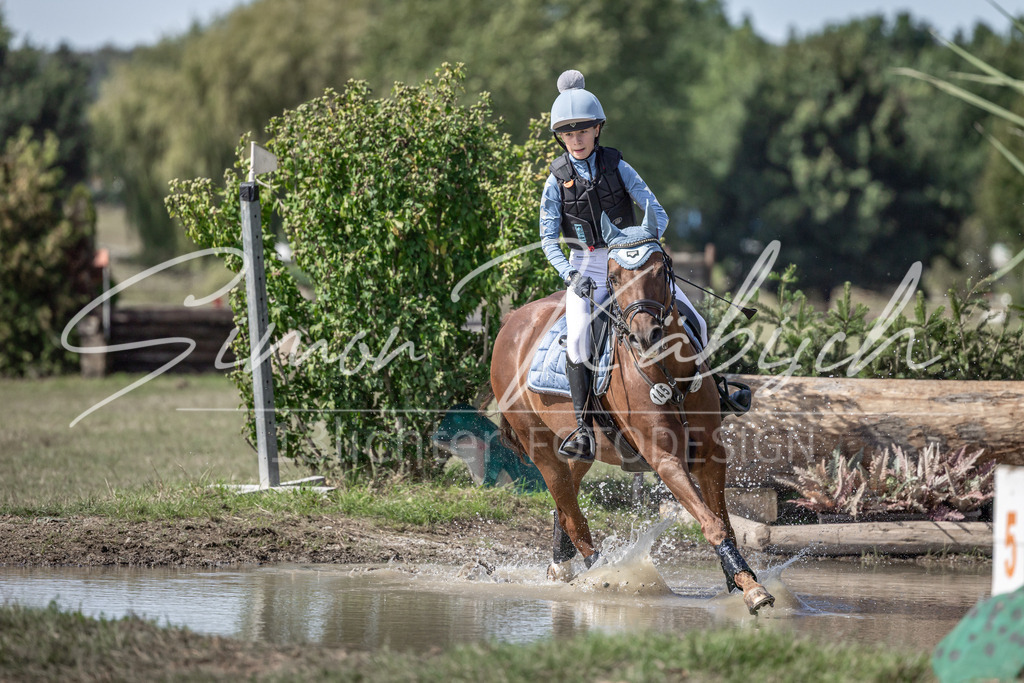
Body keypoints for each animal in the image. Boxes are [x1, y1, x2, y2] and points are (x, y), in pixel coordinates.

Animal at [489, 209, 774, 614]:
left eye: (659, 270)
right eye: (614, 278)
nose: (645, 336)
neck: (668, 371)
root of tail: (512, 321)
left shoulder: (711, 455)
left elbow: (726, 525)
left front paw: (742, 581)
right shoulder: (665, 459)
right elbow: (712, 523)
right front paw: (750, 590)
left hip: (583, 449)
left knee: (566, 501)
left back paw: (563, 566)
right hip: (539, 446)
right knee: (572, 514)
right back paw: (603, 575)